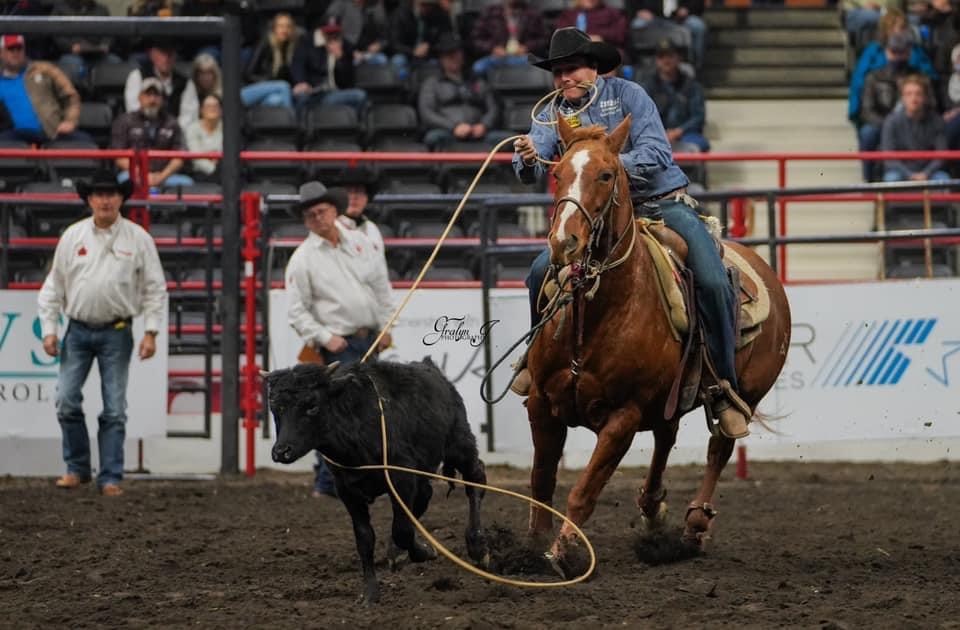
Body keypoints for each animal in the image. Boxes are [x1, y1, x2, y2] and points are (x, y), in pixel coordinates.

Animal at [528, 115, 792, 576]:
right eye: (557, 173)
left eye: (606, 174)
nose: (565, 242)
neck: (597, 312)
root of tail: (761, 265)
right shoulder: (543, 403)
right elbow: (542, 484)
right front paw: (524, 550)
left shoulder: (623, 417)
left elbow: (582, 493)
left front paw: (559, 554)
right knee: (667, 436)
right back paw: (653, 512)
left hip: (749, 389)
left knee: (720, 446)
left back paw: (694, 525)